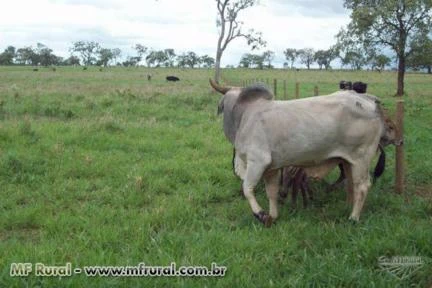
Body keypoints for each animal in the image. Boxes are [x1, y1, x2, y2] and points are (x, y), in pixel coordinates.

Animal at [211, 79, 390, 227]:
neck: (244, 115)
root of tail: (370, 100)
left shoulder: (258, 161)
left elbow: (247, 189)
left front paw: (261, 215)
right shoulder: (272, 168)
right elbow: (272, 193)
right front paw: (273, 216)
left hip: (361, 158)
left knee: (362, 186)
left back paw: (353, 218)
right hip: (348, 161)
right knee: (352, 184)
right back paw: (348, 208)